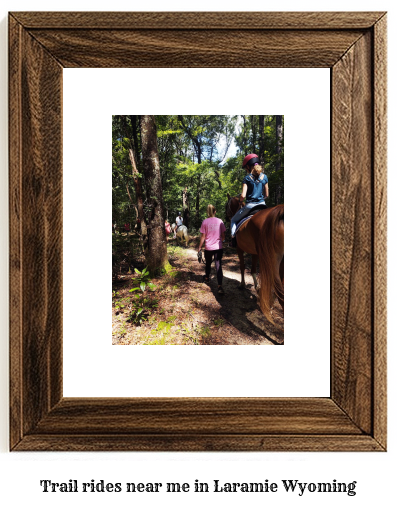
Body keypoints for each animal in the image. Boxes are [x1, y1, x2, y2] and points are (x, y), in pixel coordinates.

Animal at [224, 194, 284, 322]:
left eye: (227, 205)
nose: (226, 218)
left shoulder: (239, 249)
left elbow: (242, 267)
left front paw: (242, 285)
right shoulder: (255, 253)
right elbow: (252, 271)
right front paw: (257, 287)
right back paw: (270, 303)